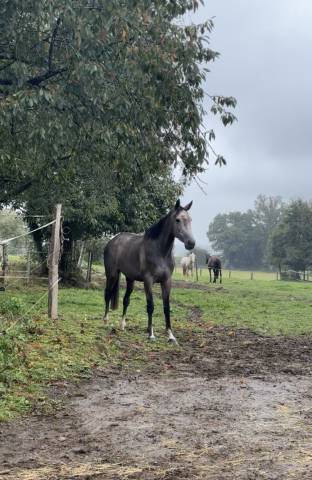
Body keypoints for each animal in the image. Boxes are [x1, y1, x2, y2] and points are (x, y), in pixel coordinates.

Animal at [103, 201, 195, 344]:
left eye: (190, 220)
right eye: (178, 220)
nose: (191, 243)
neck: (160, 252)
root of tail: (112, 241)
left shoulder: (167, 281)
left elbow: (166, 307)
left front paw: (170, 336)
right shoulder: (148, 281)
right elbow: (150, 306)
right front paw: (151, 334)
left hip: (130, 279)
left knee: (126, 300)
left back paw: (122, 325)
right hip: (111, 274)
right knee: (107, 294)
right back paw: (106, 320)